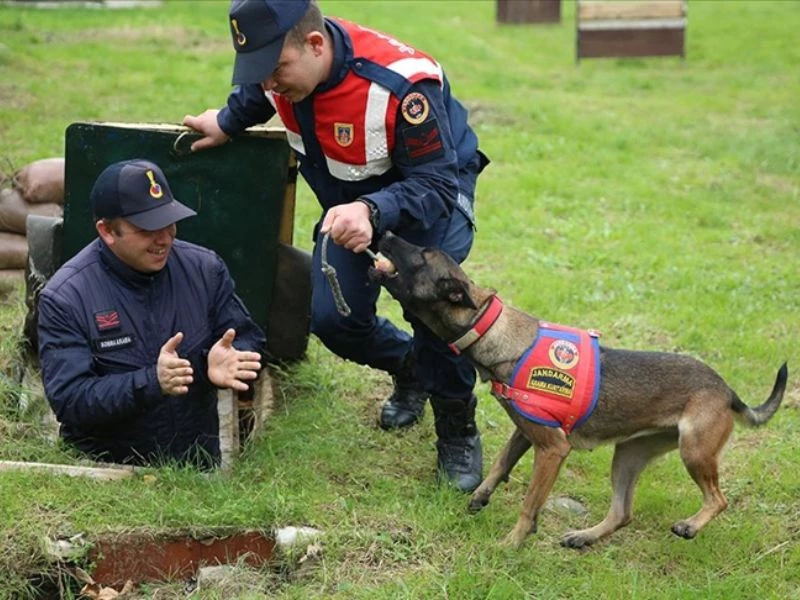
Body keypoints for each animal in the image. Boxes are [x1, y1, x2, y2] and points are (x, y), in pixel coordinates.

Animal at [368, 232, 788, 552]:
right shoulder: (526, 431)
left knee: (718, 498)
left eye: (423, 254)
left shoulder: (553, 449)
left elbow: (529, 504)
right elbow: (502, 463)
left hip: (694, 450)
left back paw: (690, 525)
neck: (493, 330)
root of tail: (727, 390)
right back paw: (584, 537)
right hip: (629, 455)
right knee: (622, 512)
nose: (384, 231)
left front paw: (512, 543)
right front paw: (482, 495)